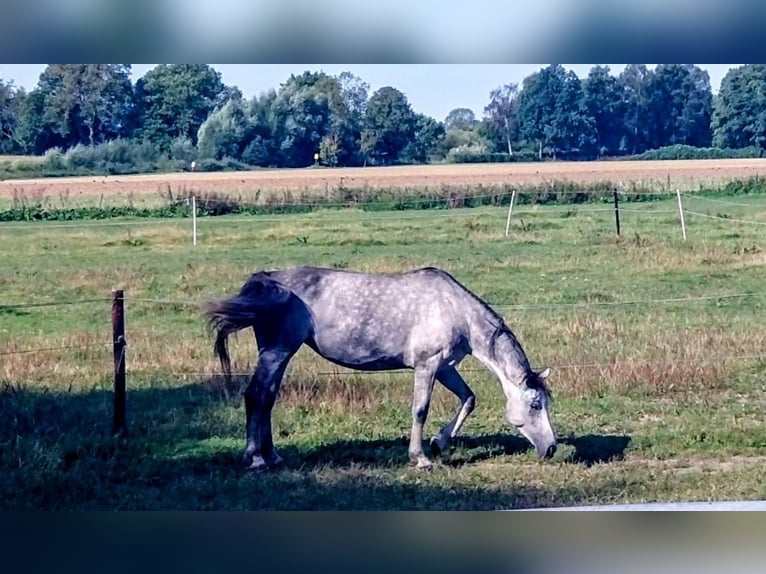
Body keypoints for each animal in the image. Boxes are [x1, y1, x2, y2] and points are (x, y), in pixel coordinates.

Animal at [201, 266, 556, 470]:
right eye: (535, 404)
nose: (552, 449)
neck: (455, 310)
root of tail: (267, 280)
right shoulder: (427, 365)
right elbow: (420, 410)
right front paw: (420, 458)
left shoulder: (445, 367)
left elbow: (468, 399)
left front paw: (439, 443)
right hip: (277, 351)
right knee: (256, 395)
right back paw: (256, 459)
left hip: (280, 353)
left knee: (268, 399)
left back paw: (273, 456)